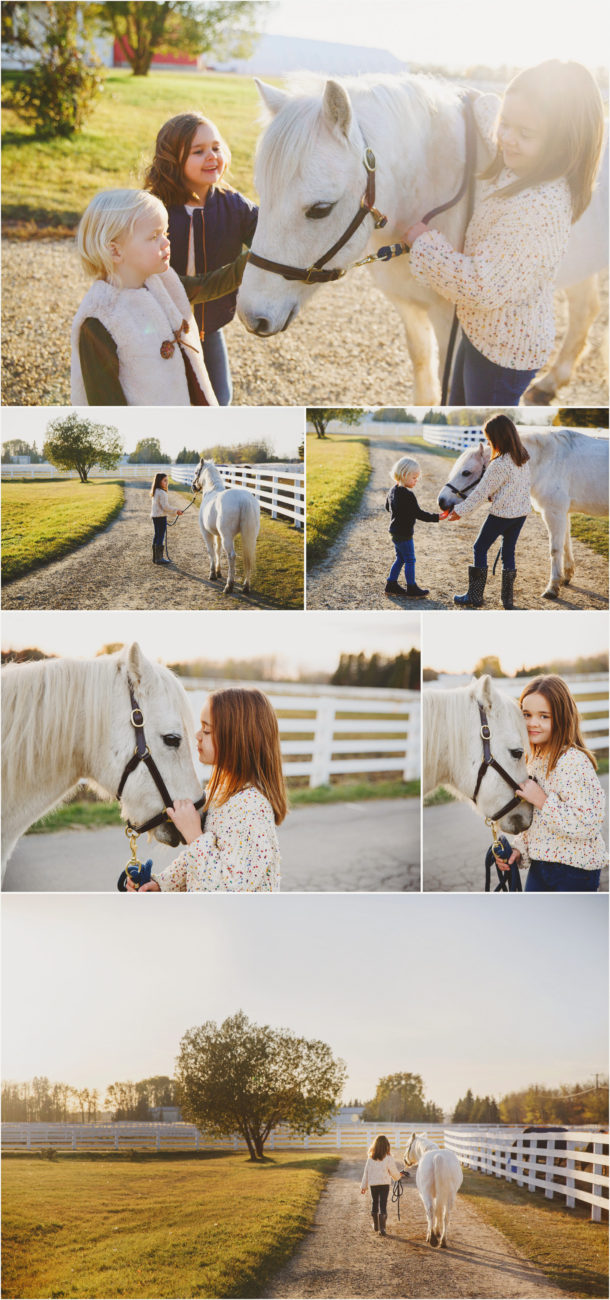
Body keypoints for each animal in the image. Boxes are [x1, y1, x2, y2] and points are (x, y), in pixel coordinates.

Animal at [192, 460, 258, 595]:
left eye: (196, 472)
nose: (193, 486)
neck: (212, 490)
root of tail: (244, 499)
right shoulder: (218, 535)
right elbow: (218, 551)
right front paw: (218, 572)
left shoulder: (207, 533)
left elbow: (211, 551)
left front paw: (212, 574)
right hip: (251, 537)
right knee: (248, 556)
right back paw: (246, 586)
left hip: (227, 537)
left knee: (231, 556)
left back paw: (229, 586)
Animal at [238, 76, 603, 400]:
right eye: (261, 193)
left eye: (320, 209)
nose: (251, 316)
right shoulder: (407, 304)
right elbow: (420, 361)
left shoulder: (451, 323)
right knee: (585, 308)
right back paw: (554, 380)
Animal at [437, 431, 608, 603]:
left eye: (466, 472)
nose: (441, 501)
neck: (549, 461)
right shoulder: (563, 513)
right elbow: (566, 545)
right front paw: (566, 576)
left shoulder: (554, 512)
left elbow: (555, 549)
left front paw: (552, 588)